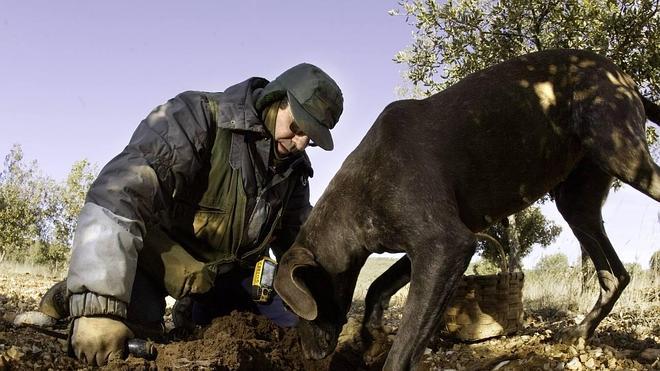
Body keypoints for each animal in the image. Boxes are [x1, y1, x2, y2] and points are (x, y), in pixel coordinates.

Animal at [274, 49, 660, 371]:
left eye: (294, 309)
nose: (307, 355)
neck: (358, 195)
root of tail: (623, 76)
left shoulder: (446, 246)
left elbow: (405, 344)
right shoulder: (425, 247)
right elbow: (377, 288)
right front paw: (371, 339)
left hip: (620, 152)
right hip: (577, 199)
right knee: (615, 275)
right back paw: (579, 334)